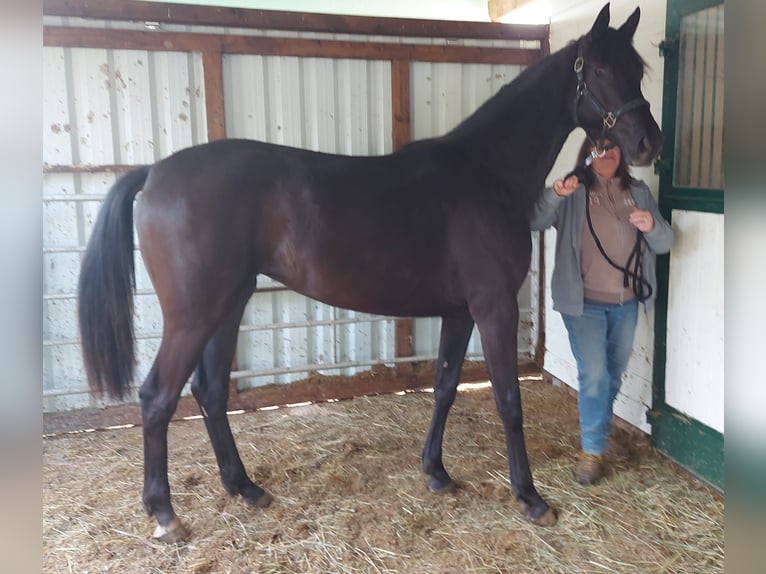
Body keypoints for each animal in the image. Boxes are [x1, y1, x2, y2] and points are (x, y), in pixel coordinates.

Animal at [79, 4, 664, 544]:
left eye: (638, 69)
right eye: (602, 70)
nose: (647, 144)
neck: (486, 175)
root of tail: (155, 173)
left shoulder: (460, 311)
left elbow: (446, 386)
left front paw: (437, 473)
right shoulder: (492, 306)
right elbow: (507, 400)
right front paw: (530, 496)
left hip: (228, 305)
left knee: (210, 391)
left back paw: (245, 488)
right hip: (194, 316)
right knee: (158, 398)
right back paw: (165, 514)